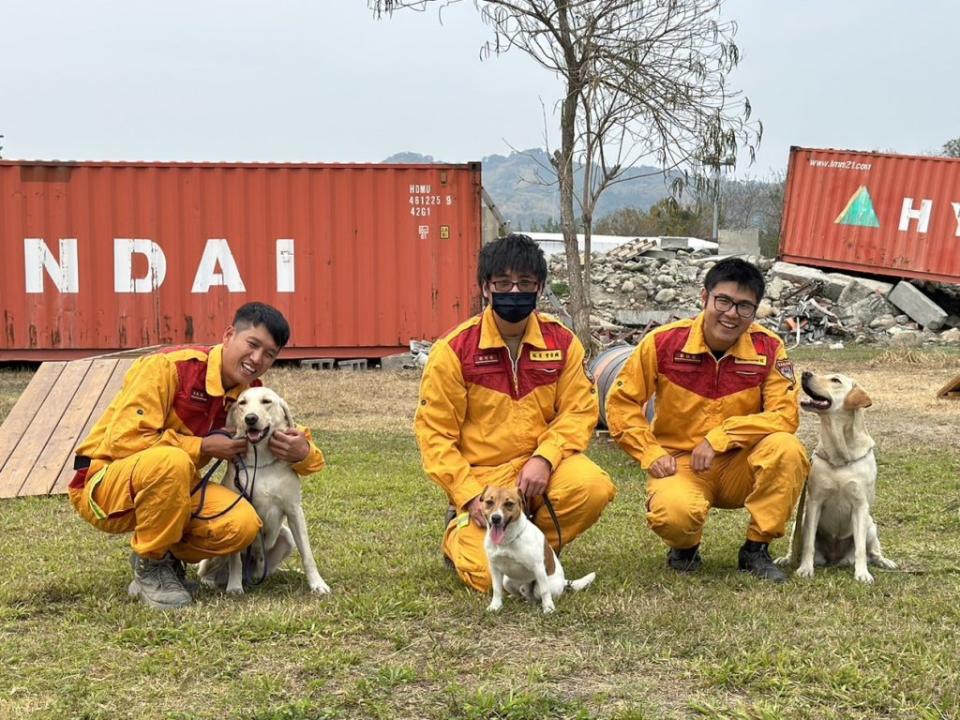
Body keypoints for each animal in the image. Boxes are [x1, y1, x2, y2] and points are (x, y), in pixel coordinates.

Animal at [195, 388, 330, 596]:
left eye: (266, 401)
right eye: (242, 403)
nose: (250, 418)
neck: (262, 461)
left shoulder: (294, 511)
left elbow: (307, 554)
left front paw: (317, 584)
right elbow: (235, 560)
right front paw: (234, 587)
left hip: (286, 537)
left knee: (265, 570)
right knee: (207, 572)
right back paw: (213, 582)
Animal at [480, 484, 592, 612]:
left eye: (509, 504)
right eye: (489, 502)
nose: (496, 518)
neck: (507, 541)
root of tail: (564, 581)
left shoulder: (538, 567)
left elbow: (545, 591)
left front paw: (548, 608)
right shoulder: (495, 568)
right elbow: (497, 590)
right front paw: (495, 606)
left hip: (541, 585)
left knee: (540, 594)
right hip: (506, 581)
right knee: (523, 595)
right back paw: (516, 598)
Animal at [792, 374, 896, 584]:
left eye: (835, 380)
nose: (806, 373)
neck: (839, 454)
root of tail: (834, 557)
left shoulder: (860, 505)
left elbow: (861, 550)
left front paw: (862, 573)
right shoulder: (814, 503)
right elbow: (808, 544)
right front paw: (805, 568)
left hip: (871, 526)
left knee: (873, 551)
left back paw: (884, 561)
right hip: (799, 521)